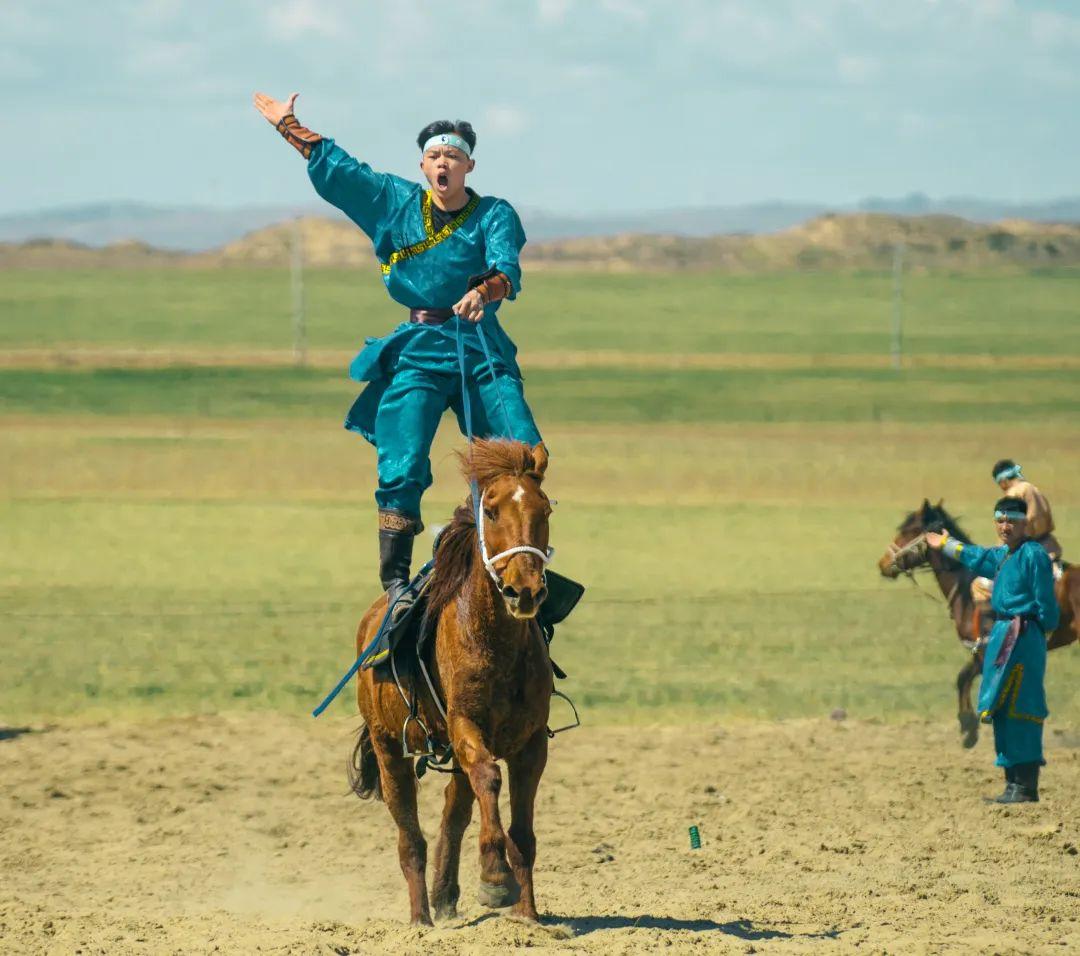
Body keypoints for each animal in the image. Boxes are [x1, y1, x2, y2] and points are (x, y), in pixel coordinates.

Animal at [352, 440, 561, 924]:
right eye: (492, 511)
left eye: (544, 509)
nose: (525, 590)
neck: (496, 642)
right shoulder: (466, 726)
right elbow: (489, 778)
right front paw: (495, 879)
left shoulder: (531, 743)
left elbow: (523, 832)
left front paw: (529, 917)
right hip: (389, 747)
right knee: (410, 836)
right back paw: (420, 920)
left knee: (454, 807)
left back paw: (445, 896)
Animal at [876, 499, 1080, 747]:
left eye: (909, 530)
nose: (883, 564)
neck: (966, 590)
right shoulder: (980, 651)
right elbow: (963, 678)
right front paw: (969, 727)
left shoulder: (988, 651)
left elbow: (970, 681)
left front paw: (969, 725)